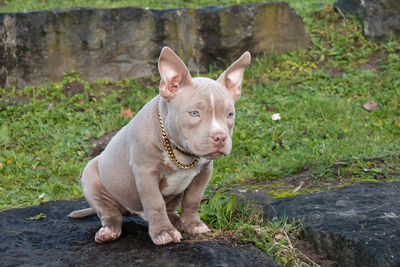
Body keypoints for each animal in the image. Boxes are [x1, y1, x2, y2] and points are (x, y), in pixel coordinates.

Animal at [68, 47, 250, 246]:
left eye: (230, 114)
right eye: (194, 113)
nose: (220, 137)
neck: (180, 152)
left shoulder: (204, 172)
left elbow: (193, 200)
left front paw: (193, 224)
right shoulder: (146, 174)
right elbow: (155, 203)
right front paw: (164, 232)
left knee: (170, 209)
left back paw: (177, 221)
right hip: (91, 176)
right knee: (109, 213)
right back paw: (109, 231)